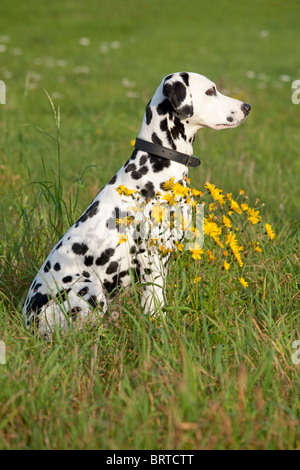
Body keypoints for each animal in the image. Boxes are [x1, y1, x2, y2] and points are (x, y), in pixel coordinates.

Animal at [22, 71, 251, 334]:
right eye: (210, 91)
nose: (247, 107)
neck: (158, 164)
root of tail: (29, 319)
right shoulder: (150, 255)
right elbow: (155, 303)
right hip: (89, 289)